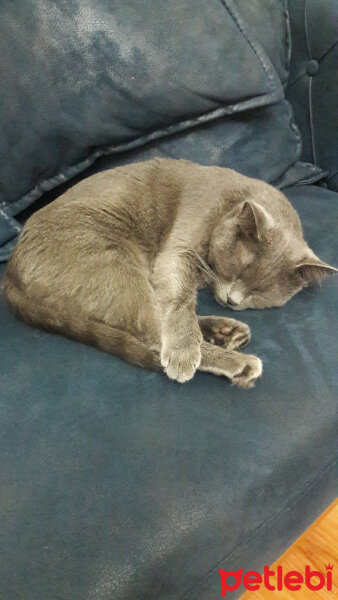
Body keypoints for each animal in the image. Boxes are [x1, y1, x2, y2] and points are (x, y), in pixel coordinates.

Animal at [1, 157, 336, 386]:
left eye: (260, 293)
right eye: (238, 268)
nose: (233, 300)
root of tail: (10, 272)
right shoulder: (178, 249)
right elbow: (179, 300)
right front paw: (184, 351)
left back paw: (226, 331)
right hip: (113, 261)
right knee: (151, 331)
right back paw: (236, 361)